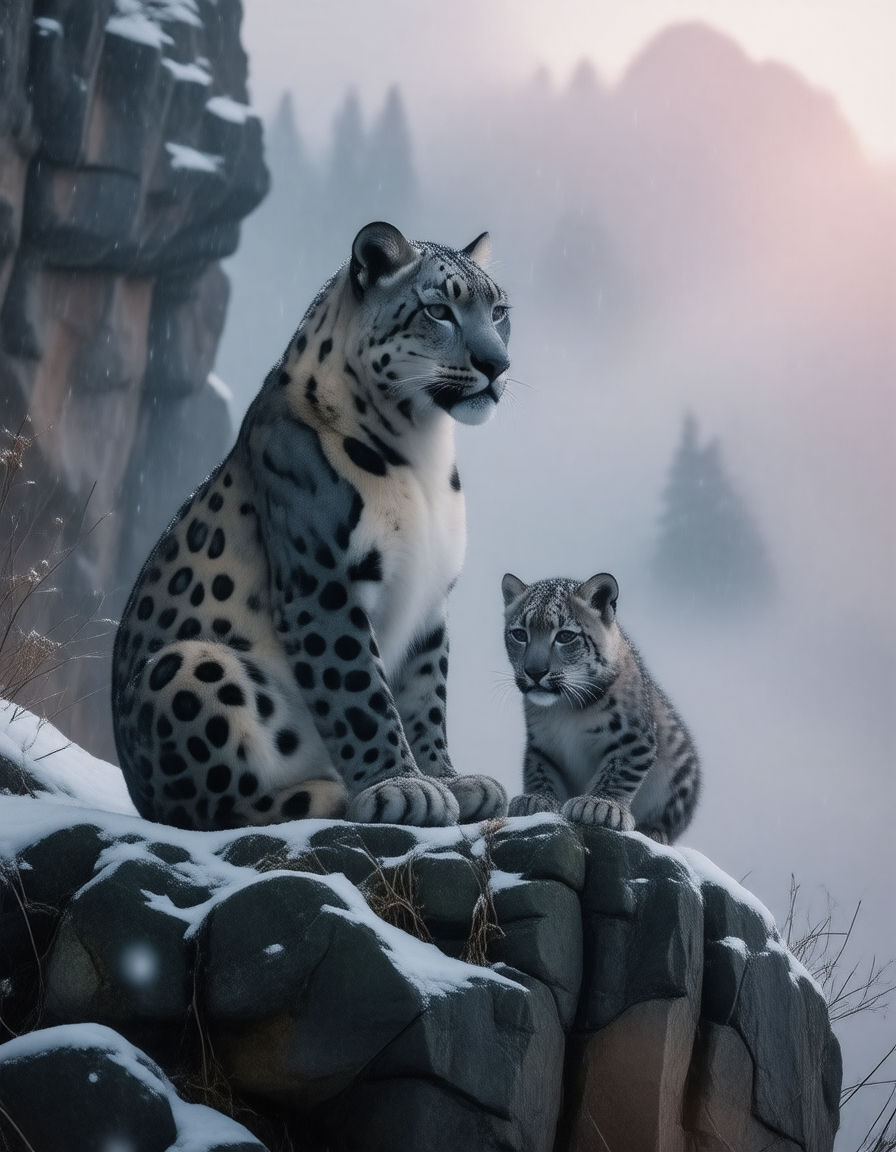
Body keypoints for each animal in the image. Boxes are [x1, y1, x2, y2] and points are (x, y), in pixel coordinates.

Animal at [112, 221, 511, 830]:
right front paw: (402, 787)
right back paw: (327, 792)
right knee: (212, 807)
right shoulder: (323, 582)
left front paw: (449, 779)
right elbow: (361, 690)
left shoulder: (430, 600)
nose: (498, 364)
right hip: (189, 664)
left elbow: (425, 695)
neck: (424, 451)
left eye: (500, 311)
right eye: (439, 310)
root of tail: (133, 788)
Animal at [501, 571, 700, 843]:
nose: (534, 672)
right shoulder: (541, 744)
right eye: (520, 634)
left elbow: (619, 772)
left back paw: (654, 831)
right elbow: (539, 771)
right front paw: (536, 800)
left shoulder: (633, 738)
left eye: (565, 636)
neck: (564, 710)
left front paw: (599, 805)